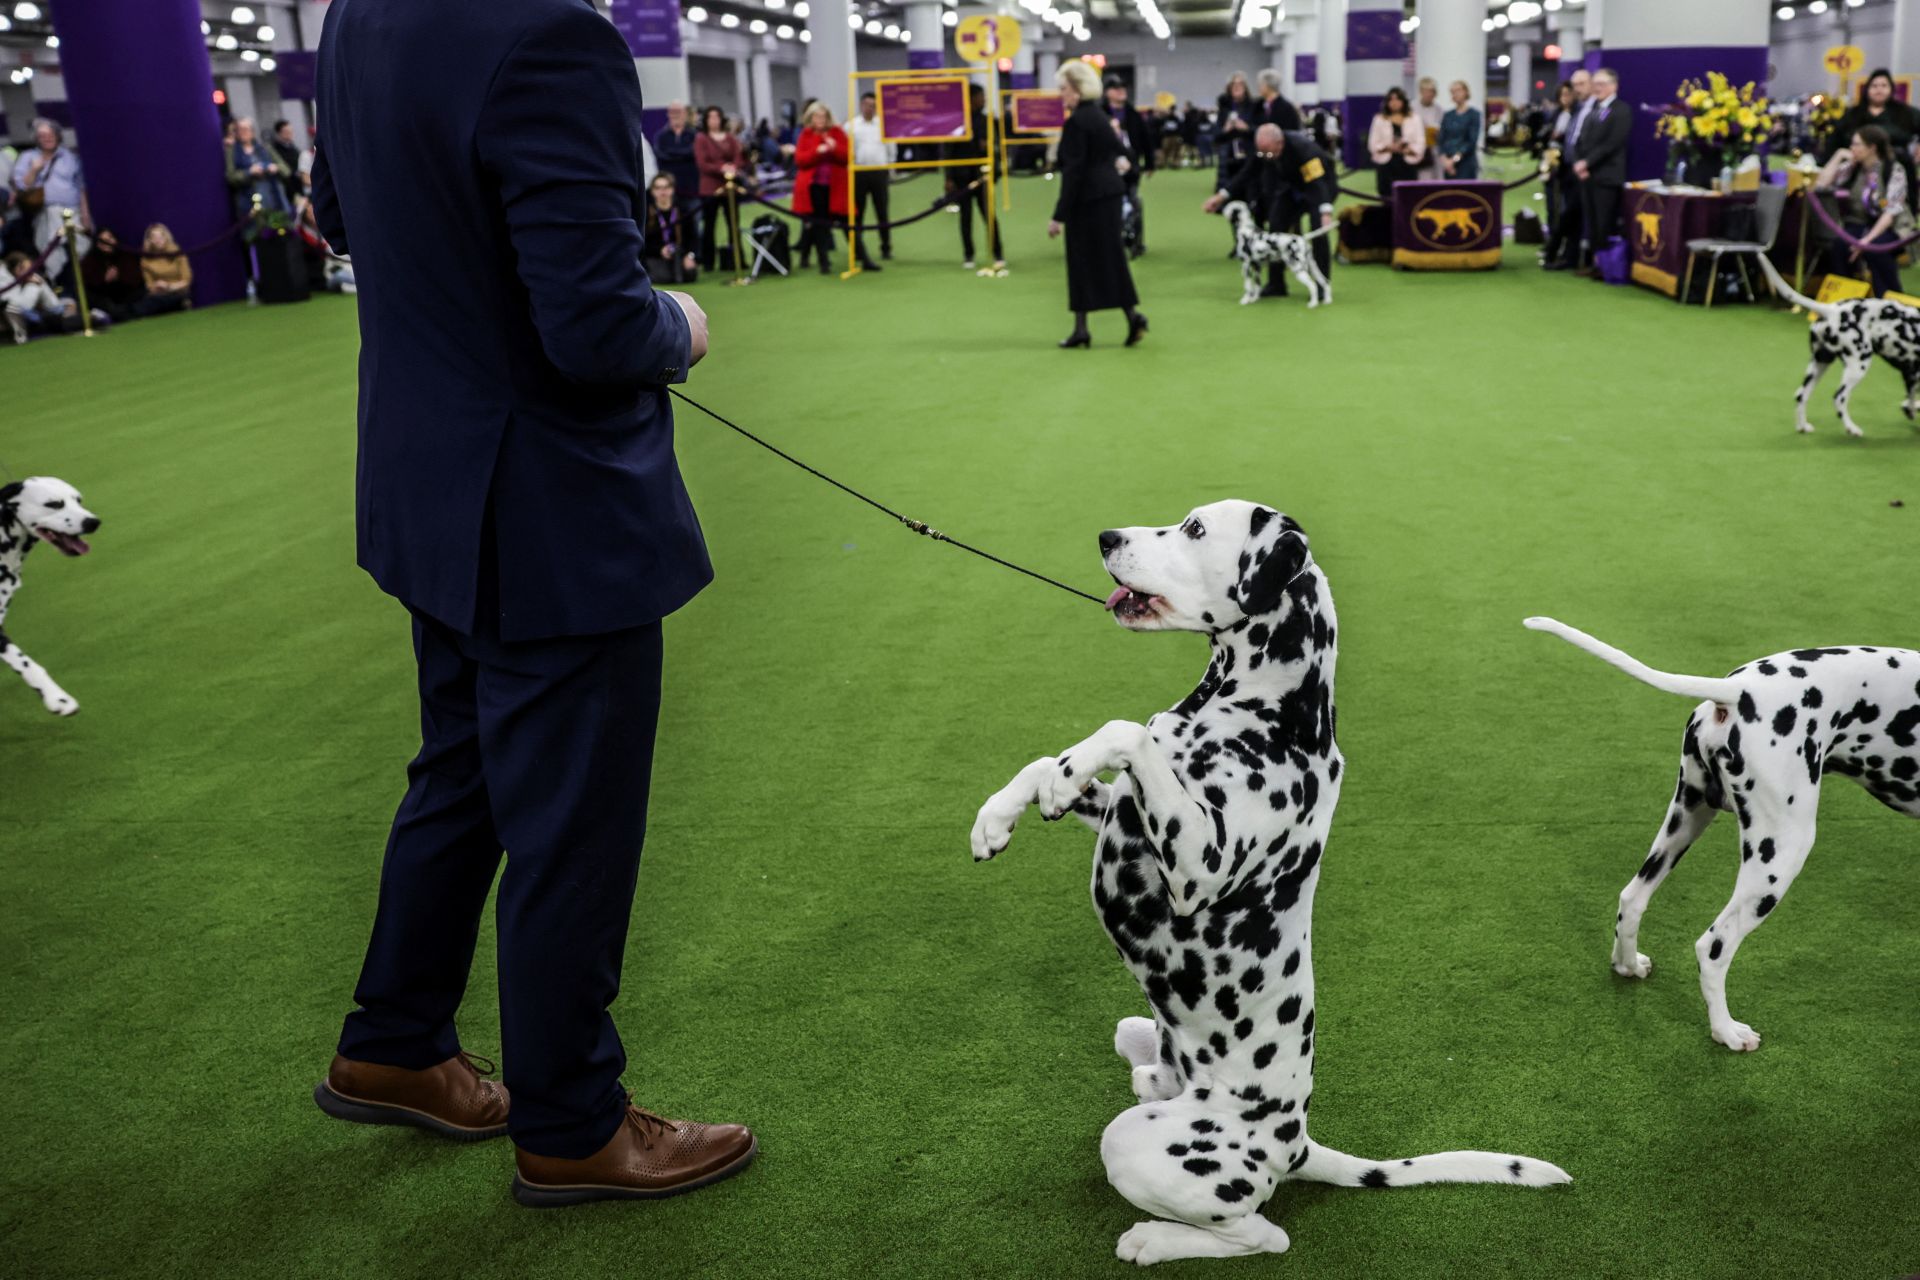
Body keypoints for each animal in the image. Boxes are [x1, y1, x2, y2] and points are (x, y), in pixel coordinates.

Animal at [967, 498, 1566, 1258]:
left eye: (1194, 528)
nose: (1106, 537)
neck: (1263, 708)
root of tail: (1298, 1144)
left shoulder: (1201, 862)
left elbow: (1125, 730)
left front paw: (1068, 768)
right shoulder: (1127, 811)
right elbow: (1056, 762)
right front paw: (1001, 814)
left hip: (1140, 1145)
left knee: (1262, 1234)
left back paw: (1156, 1240)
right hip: (1136, 1031)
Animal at [1520, 617, 1912, 1051]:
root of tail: (1738, 691)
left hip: (1686, 819)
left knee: (1633, 897)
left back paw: (1627, 965)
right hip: (1782, 849)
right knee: (1712, 947)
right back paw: (1726, 1031)